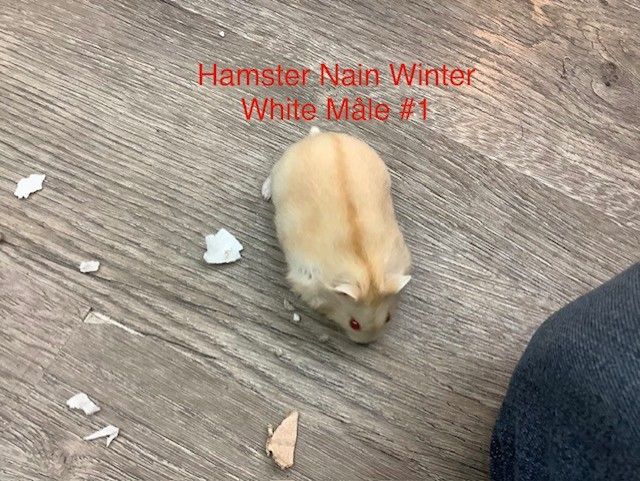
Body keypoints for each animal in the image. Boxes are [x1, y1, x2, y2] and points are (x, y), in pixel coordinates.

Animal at [262, 130, 411, 344]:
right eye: (354, 324)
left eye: (388, 318)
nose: (366, 344)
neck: (367, 273)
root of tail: (321, 135)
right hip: (280, 171)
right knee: (270, 177)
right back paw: (265, 193)